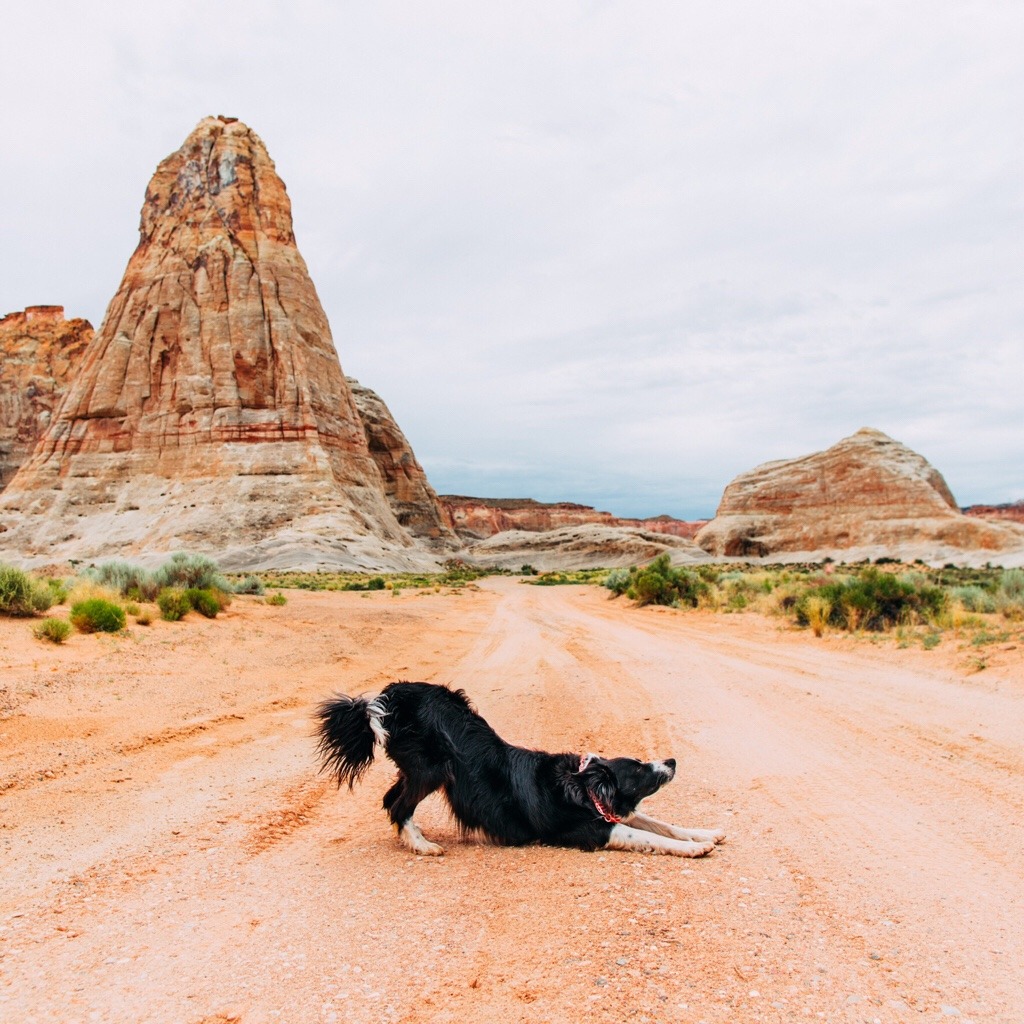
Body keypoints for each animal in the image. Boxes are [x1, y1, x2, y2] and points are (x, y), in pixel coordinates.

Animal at [315, 681, 724, 857]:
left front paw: (707, 833)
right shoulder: (588, 830)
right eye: (638, 770)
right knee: (400, 806)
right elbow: (645, 835)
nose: (671, 761)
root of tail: (384, 698)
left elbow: (661, 824)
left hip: (415, 768)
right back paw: (423, 845)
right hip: (432, 768)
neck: (584, 787)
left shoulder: (608, 812)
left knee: (391, 800)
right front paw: (696, 848)